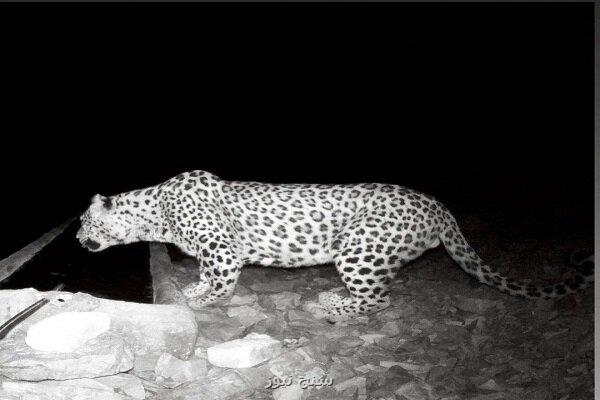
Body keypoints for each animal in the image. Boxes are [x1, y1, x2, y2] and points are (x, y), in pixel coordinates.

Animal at [76, 170, 596, 320]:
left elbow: (218, 282)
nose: (78, 239)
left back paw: (328, 303)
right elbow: (208, 276)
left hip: (359, 251)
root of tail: (440, 208)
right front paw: (195, 291)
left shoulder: (222, 250)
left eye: (83, 222)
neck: (155, 215)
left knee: (380, 299)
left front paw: (198, 299)